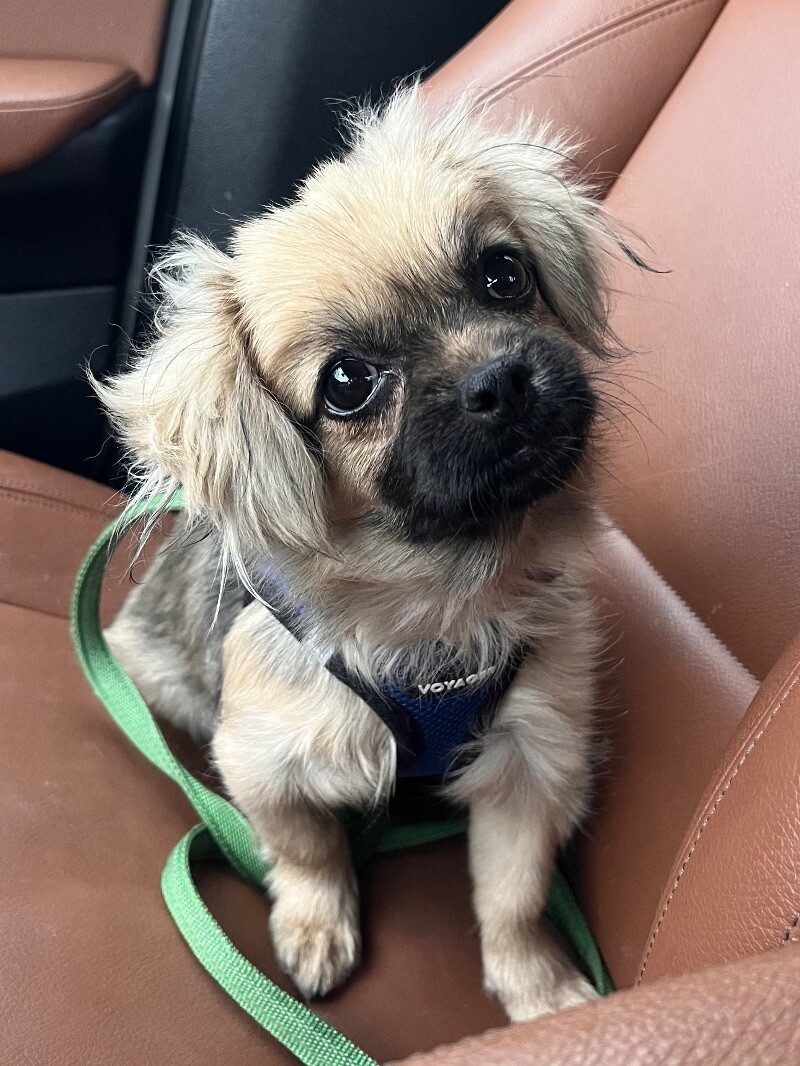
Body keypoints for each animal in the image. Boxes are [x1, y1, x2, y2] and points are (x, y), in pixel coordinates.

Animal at [95, 87, 631, 1019]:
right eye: (346, 384)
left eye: (504, 274)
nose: (500, 380)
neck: (441, 608)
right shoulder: (264, 762)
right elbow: (308, 851)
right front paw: (316, 928)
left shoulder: (533, 765)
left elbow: (514, 895)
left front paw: (537, 983)